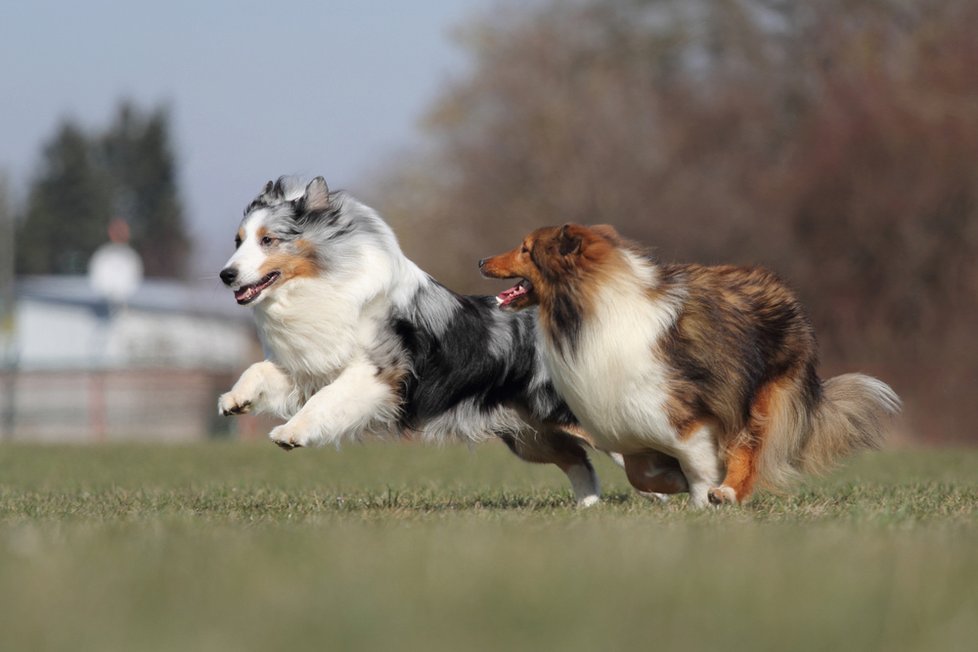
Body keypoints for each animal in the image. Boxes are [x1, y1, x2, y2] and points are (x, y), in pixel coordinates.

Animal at [218, 181, 608, 506]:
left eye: (268, 240)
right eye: (238, 241)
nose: (226, 275)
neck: (323, 280)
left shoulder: (379, 372)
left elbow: (326, 400)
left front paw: (290, 432)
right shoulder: (312, 364)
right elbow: (262, 370)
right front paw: (235, 400)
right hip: (530, 436)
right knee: (578, 459)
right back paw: (587, 508)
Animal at [476, 225, 896, 510]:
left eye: (526, 249)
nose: (481, 261)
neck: (591, 306)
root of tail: (784, 290)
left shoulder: (682, 414)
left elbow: (697, 464)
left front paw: (699, 499)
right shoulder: (627, 421)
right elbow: (638, 472)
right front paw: (670, 483)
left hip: (757, 394)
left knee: (749, 449)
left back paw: (727, 492)